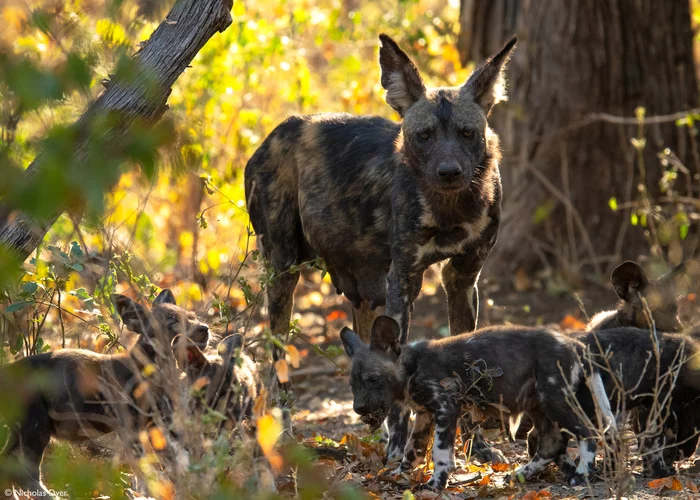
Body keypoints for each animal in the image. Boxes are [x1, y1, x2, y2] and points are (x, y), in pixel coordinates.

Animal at [0, 290, 209, 496]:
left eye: (193, 317)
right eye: (173, 320)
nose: (204, 329)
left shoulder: (160, 424)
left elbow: (176, 465)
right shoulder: (130, 428)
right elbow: (144, 472)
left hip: (20, 430)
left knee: (8, 466)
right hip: (36, 427)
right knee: (26, 474)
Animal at [245, 32, 516, 458]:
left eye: (467, 133)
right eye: (424, 135)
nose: (449, 172)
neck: (450, 208)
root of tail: (272, 136)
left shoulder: (462, 278)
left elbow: (466, 367)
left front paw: (478, 448)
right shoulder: (404, 279)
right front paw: (402, 451)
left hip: (365, 293)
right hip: (284, 275)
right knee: (278, 366)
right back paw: (288, 435)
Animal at [342, 316, 616, 488]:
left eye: (374, 379)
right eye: (353, 385)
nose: (359, 408)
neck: (410, 368)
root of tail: (575, 344)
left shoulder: (446, 409)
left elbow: (440, 454)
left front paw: (436, 484)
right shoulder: (424, 415)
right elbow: (413, 452)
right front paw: (397, 476)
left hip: (555, 400)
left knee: (589, 433)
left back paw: (581, 476)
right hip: (538, 405)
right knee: (552, 443)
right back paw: (520, 476)